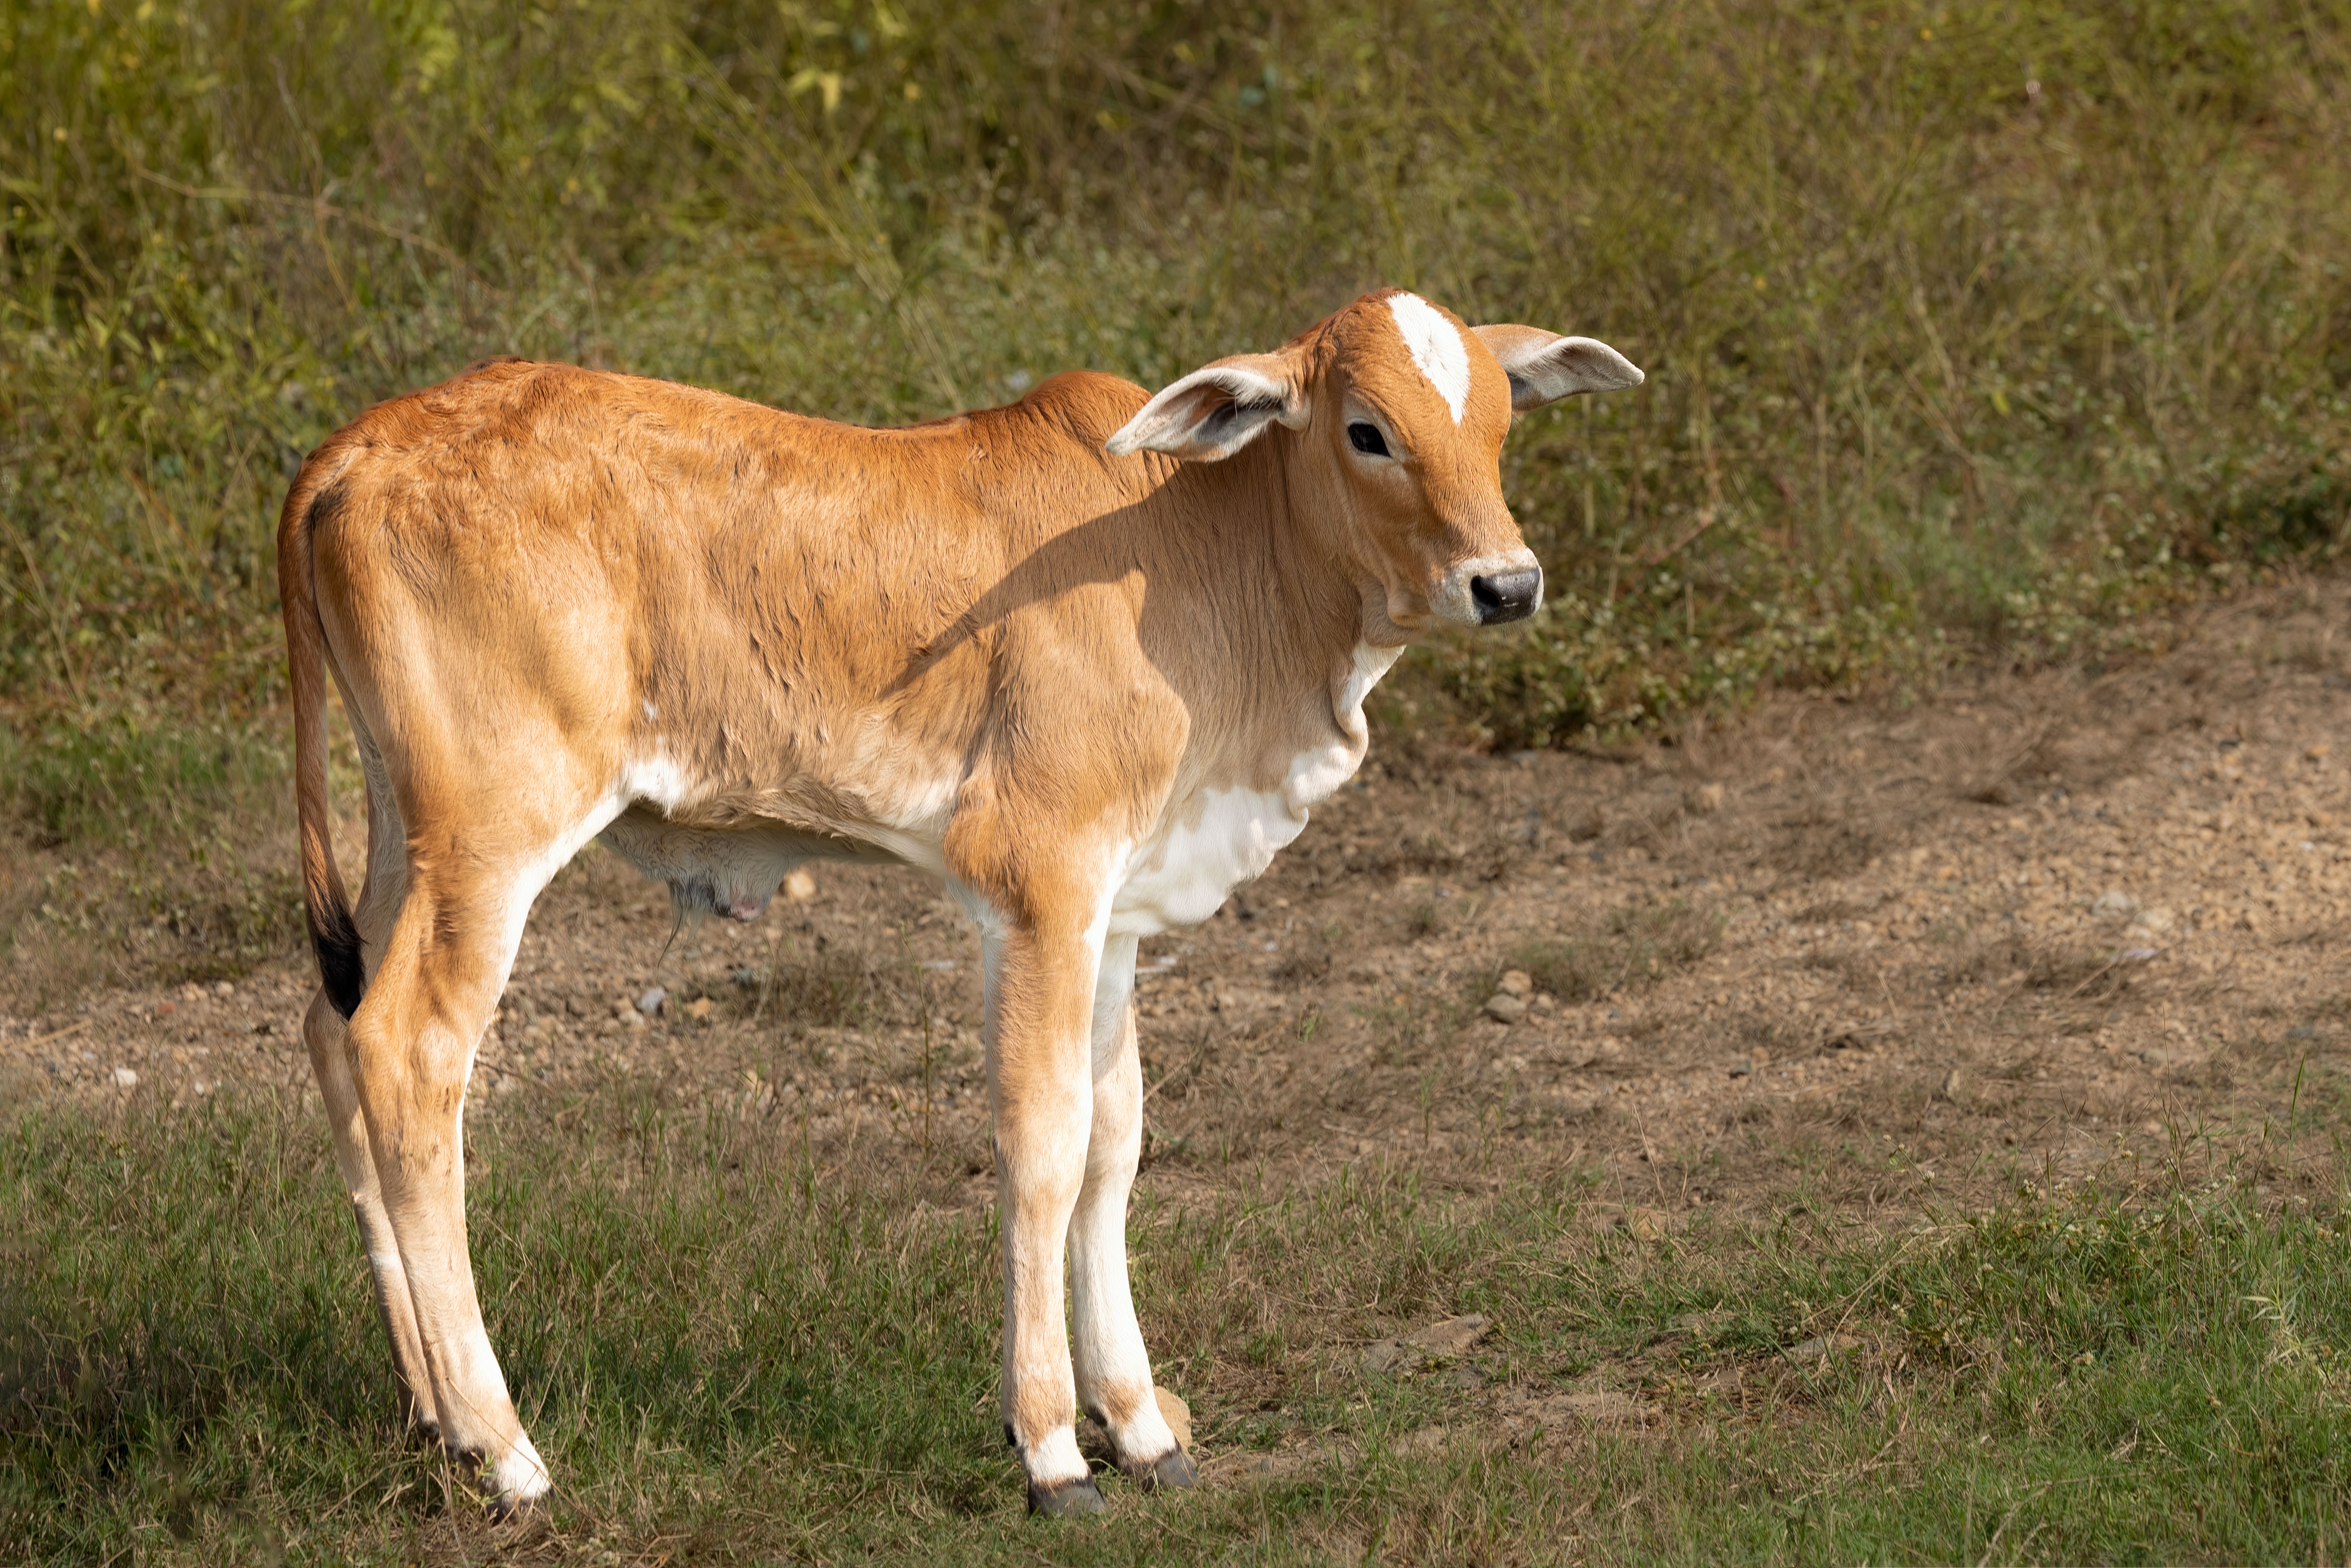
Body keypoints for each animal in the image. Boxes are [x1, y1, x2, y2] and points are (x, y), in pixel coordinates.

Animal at [277, 288, 1642, 1518]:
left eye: (1501, 418)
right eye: (1368, 429)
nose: (1505, 583)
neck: (1196, 549)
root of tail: (363, 444)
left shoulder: (1116, 914)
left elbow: (1114, 1142)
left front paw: (1141, 1426)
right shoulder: (1038, 886)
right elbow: (1044, 1145)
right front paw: (1050, 1448)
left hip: (407, 833)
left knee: (335, 1035)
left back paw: (431, 1418)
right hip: (493, 838)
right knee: (409, 1055)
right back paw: (504, 1451)